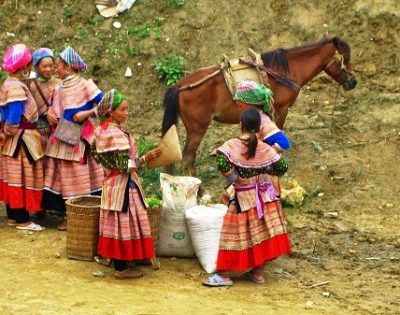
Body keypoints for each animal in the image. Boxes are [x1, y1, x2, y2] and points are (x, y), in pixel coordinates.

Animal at [162, 37, 356, 175]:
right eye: (345, 58)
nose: (353, 82)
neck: (286, 72)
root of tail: (179, 86)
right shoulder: (281, 109)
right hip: (197, 128)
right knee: (188, 157)